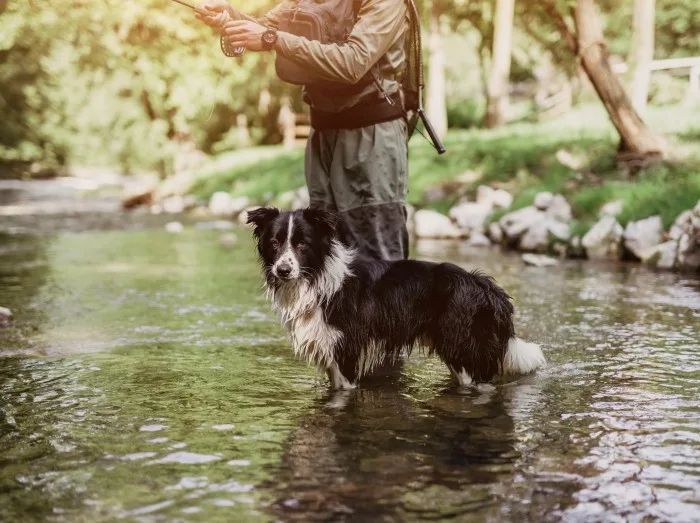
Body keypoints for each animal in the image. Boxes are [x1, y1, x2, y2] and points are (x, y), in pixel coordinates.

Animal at [247, 207, 548, 390]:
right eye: (274, 243)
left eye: (302, 244)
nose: (283, 270)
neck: (316, 279)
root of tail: (486, 286)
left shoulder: (346, 352)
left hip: (462, 347)